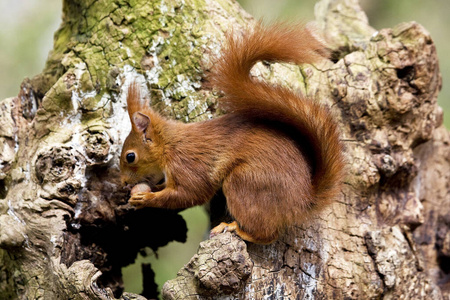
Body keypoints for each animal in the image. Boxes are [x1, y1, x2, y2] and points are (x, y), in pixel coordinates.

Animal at [119, 22, 344, 244]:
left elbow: (190, 193)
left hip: (245, 183)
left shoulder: (187, 165)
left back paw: (236, 228)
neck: (169, 145)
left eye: (130, 157)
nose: (123, 183)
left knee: (267, 234)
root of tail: (304, 201)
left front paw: (146, 199)